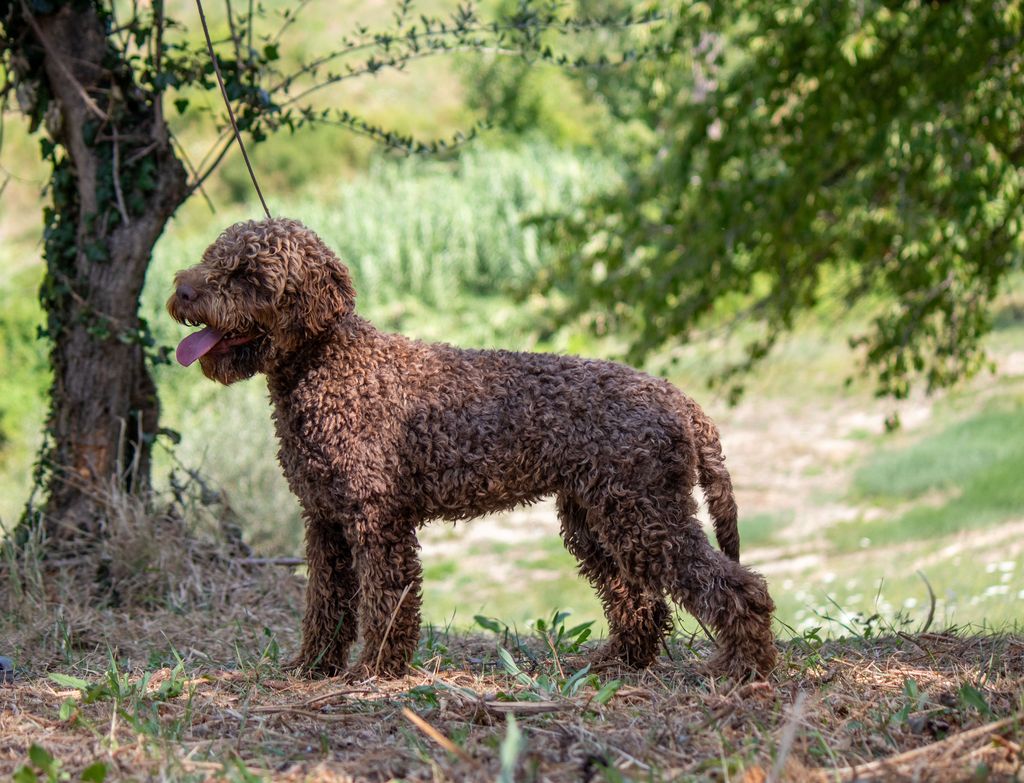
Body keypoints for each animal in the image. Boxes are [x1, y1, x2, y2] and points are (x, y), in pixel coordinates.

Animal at [167, 214, 774, 679]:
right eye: (212, 256)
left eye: (249, 274)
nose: (182, 291)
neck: (328, 362)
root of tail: (679, 398)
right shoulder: (325, 522)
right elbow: (325, 606)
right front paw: (312, 669)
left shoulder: (375, 520)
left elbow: (386, 601)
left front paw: (375, 672)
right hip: (600, 519)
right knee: (640, 600)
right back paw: (616, 664)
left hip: (645, 516)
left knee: (737, 587)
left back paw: (743, 669)